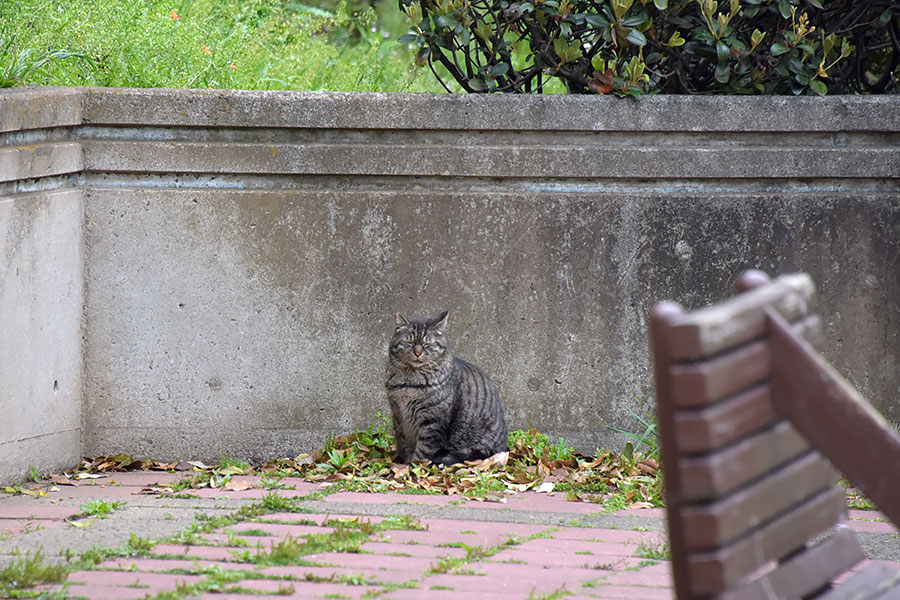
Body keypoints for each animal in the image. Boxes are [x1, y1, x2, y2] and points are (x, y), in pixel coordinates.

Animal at [384, 312, 506, 466]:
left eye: (427, 344)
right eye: (409, 343)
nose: (417, 353)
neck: (409, 383)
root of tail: (504, 447)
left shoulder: (432, 421)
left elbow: (422, 452)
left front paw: (412, 466)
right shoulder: (398, 414)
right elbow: (402, 443)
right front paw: (403, 463)